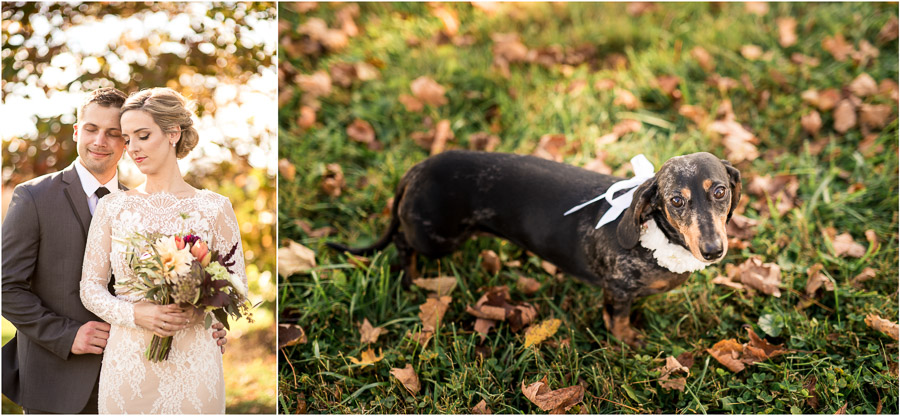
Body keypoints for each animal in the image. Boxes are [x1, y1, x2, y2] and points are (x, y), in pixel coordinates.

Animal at [326, 151, 740, 346]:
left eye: (720, 191)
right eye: (675, 201)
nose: (712, 250)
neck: (657, 237)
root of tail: (416, 169)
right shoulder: (617, 290)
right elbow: (617, 319)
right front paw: (626, 338)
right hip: (435, 239)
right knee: (402, 244)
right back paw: (409, 277)